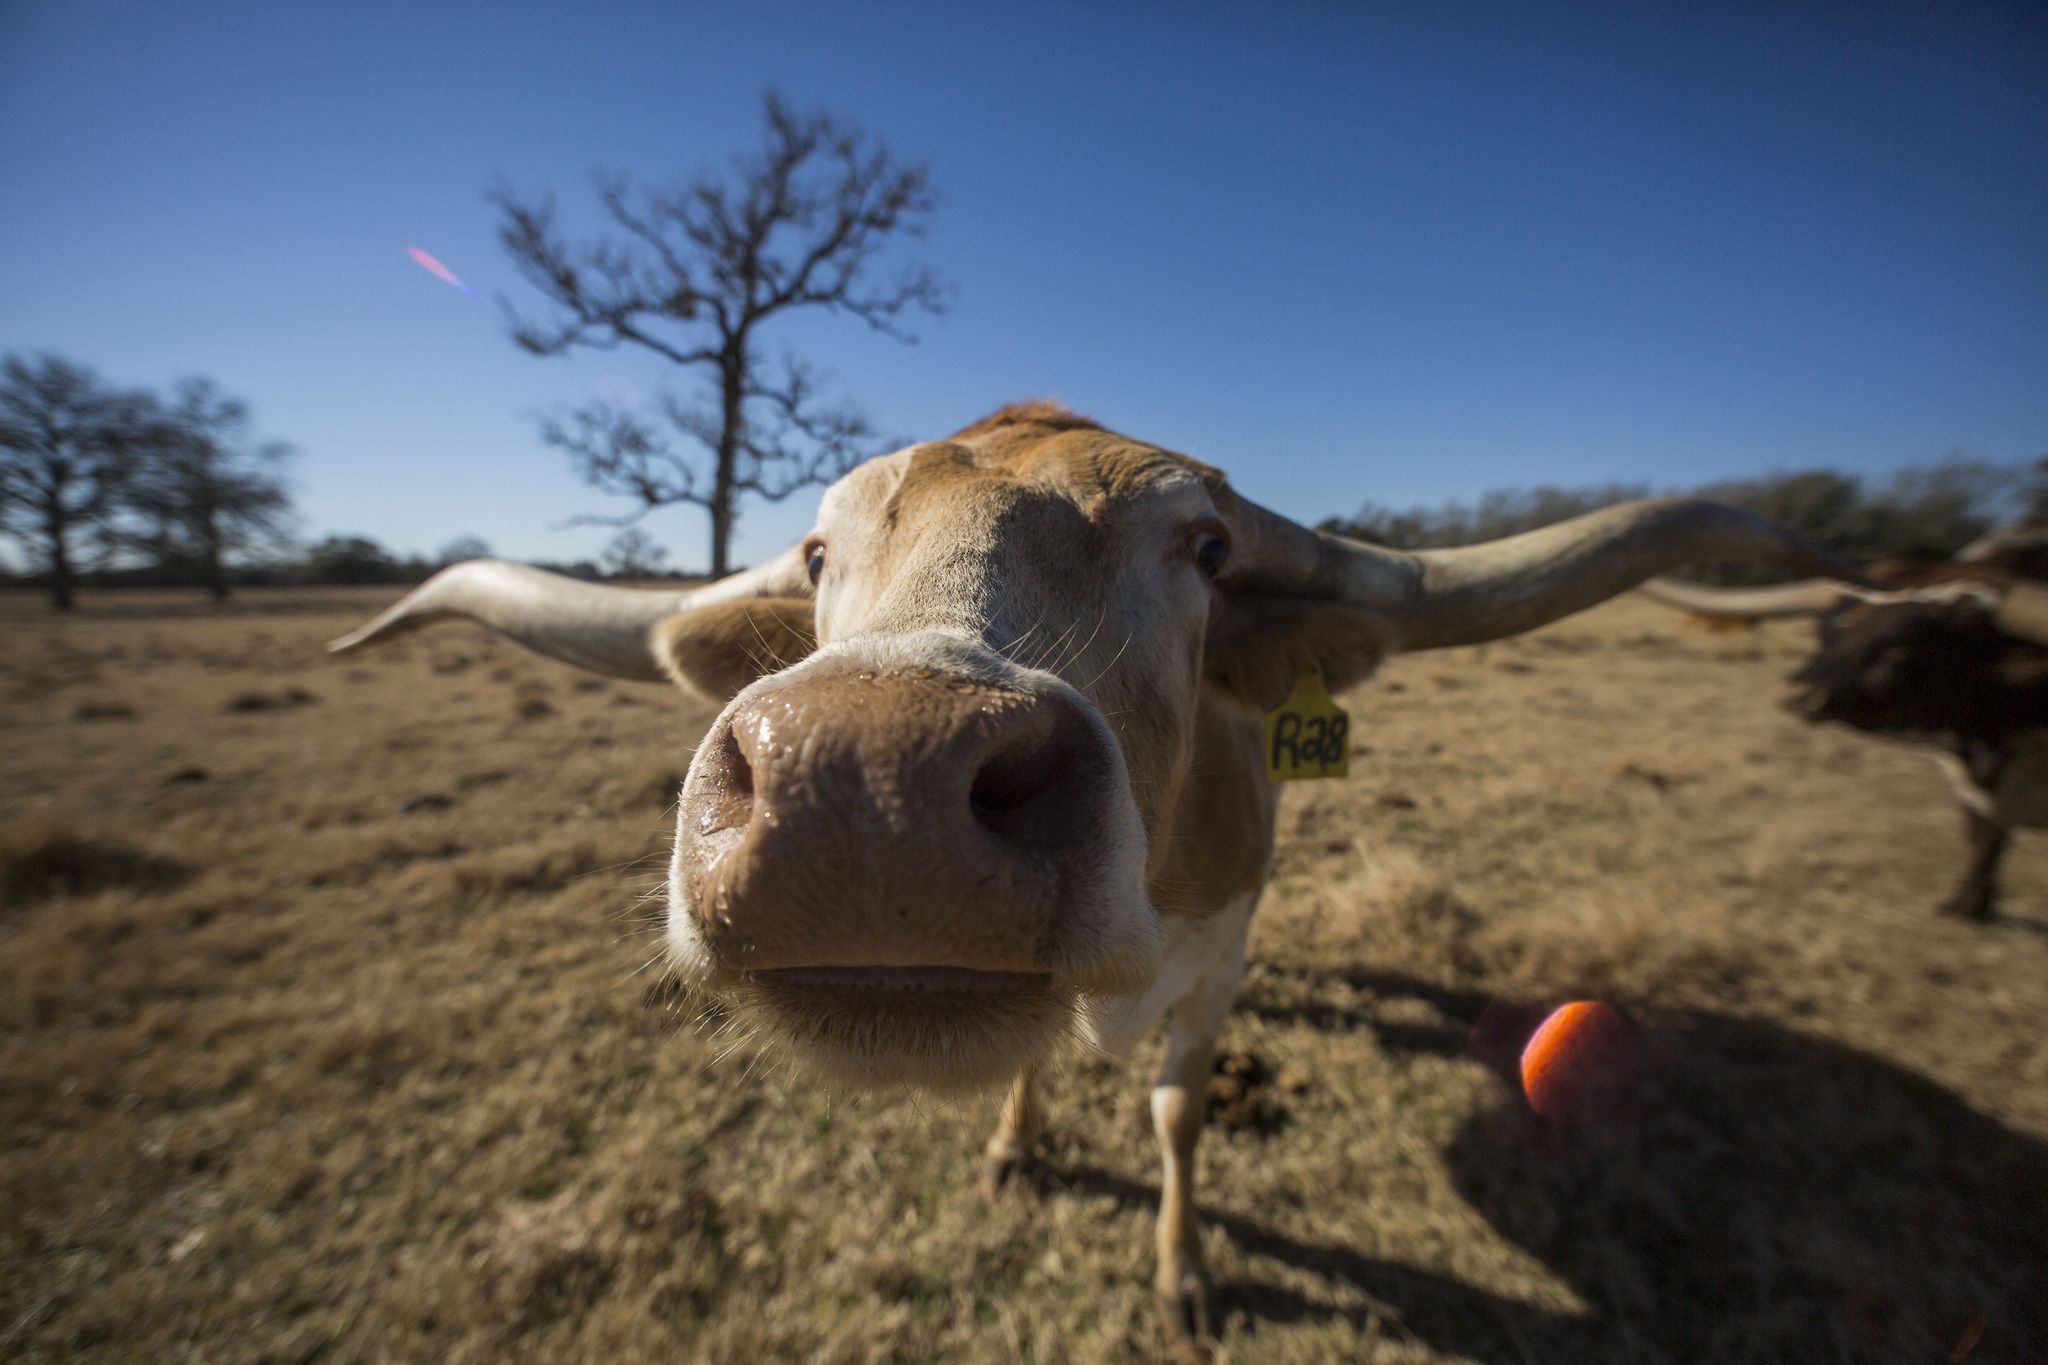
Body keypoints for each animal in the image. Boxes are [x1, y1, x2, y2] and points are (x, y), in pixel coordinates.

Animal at [327, 401, 1851, 1350]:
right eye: (818, 551)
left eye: (1207, 546)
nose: (868, 793)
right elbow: (1038, 1056)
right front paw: (1016, 1146)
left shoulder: (1221, 955)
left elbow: (1179, 1111)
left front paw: (1184, 1278)